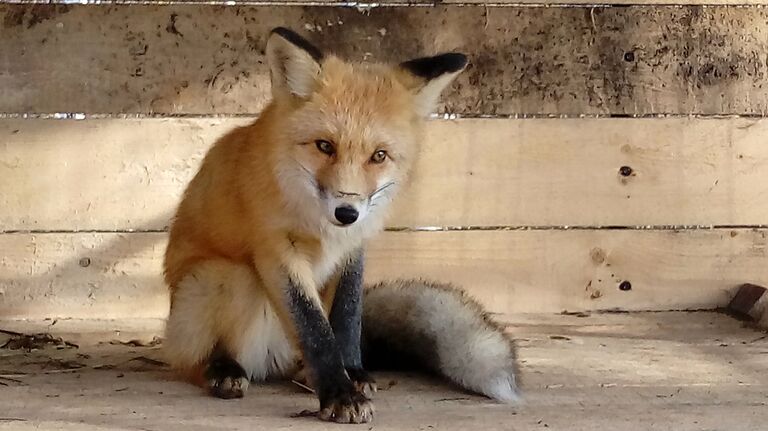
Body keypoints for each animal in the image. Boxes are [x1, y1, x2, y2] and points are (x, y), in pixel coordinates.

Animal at [164, 27, 520, 426]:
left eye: (378, 156)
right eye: (324, 146)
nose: (346, 212)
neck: (323, 228)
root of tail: (273, 358)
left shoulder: (355, 246)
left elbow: (347, 318)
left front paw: (352, 372)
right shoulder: (276, 250)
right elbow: (315, 329)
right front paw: (339, 393)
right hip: (222, 276)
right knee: (194, 356)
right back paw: (223, 369)